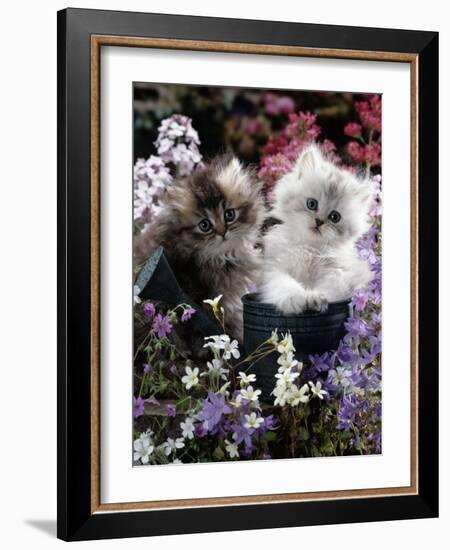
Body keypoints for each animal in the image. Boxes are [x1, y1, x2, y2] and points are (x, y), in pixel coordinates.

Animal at [258, 143, 374, 314]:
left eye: (334, 217)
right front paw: (299, 299)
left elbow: (329, 290)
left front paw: (316, 298)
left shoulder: (339, 274)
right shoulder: (275, 269)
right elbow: (286, 285)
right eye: (311, 204)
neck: (309, 247)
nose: (319, 221)